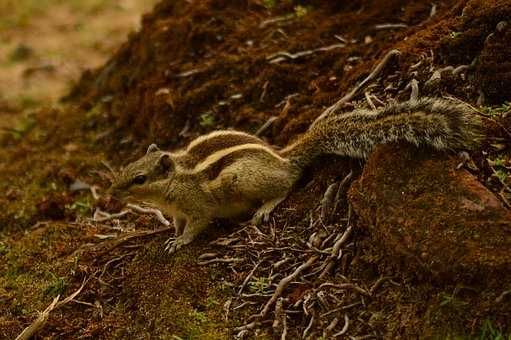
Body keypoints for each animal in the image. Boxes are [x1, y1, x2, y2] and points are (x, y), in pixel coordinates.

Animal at [109, 97, 484, 252]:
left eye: (139, 179)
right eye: (126, 169)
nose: (113, 193)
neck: (174, 183)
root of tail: (283, 158)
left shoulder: (198, 205)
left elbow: (197, 224)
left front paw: (180, 241)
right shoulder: (176, 210)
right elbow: (178, 222)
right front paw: (171, 233)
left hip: (246, 180)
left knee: (288, 185)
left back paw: (265, 206)